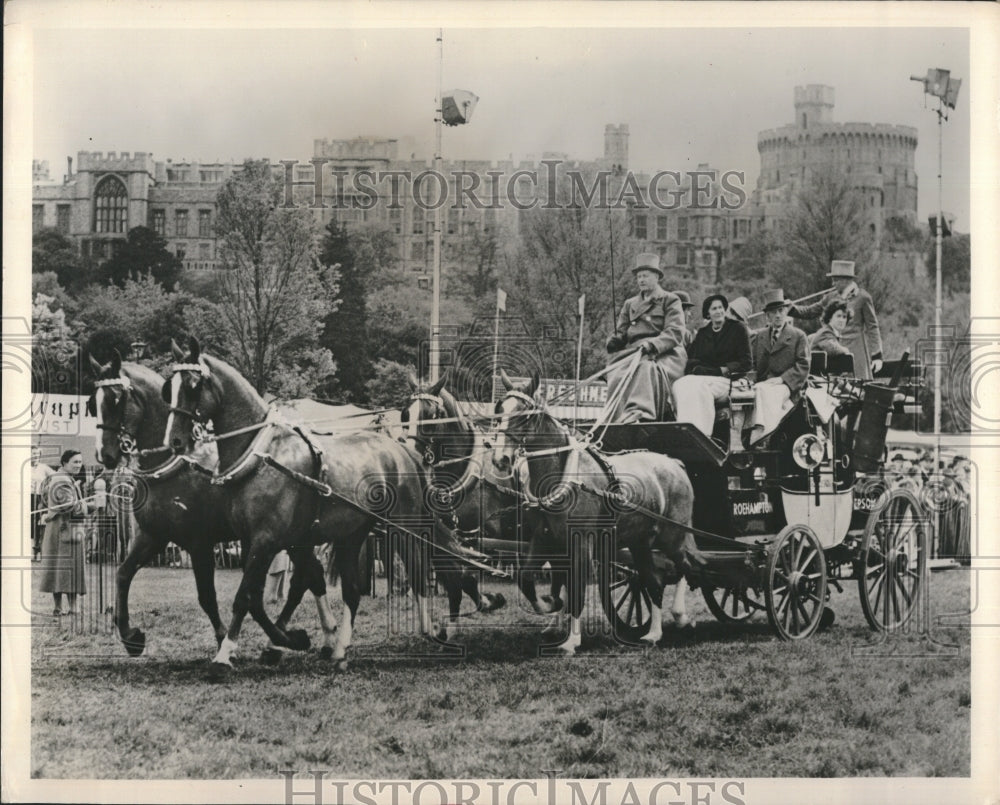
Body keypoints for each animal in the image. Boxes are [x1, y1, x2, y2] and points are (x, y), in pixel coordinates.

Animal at [492, 370, 704, 652]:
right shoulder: (544, 539)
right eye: (499, 410)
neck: (564, 474)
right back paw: (654, 633)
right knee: (654, 581)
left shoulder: (582, 542)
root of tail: (674, 463)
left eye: (525, 415)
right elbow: (527, 580)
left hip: (673, 536)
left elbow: (577, 588)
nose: (500, 459)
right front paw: (551, 605)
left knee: (687, 567)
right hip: (640, 542)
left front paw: (572, 640)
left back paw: (681, 616)